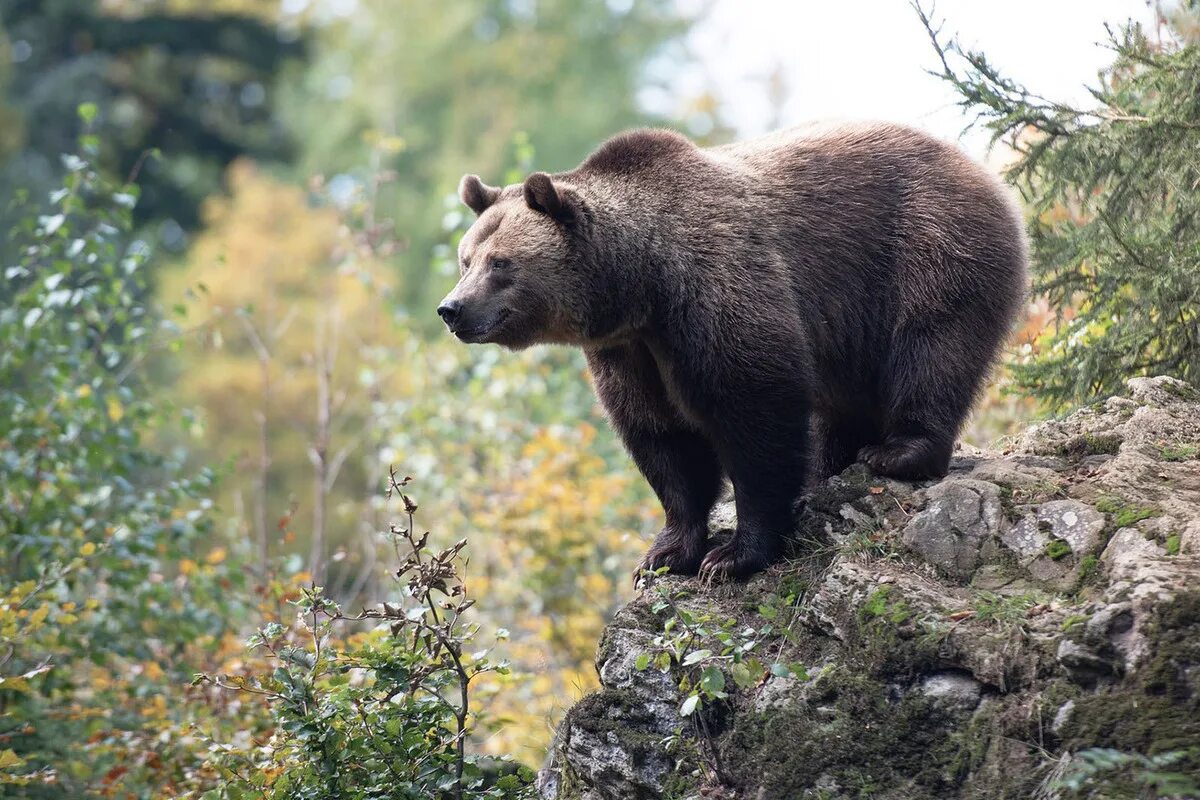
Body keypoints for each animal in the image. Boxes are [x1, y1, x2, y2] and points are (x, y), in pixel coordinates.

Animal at [441, 120, 1032, 582]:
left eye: (501, 263)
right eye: (466, 259)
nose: (452, 309)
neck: (642, 286)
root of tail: (980, 166)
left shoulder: (717, 288)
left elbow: (754, 413)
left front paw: (733, 556)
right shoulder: (630, 352)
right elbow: (662, 438)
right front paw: (665, 552)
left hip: (927, 247)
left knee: (932, 349)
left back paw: (899, 451)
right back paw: (831, 464)